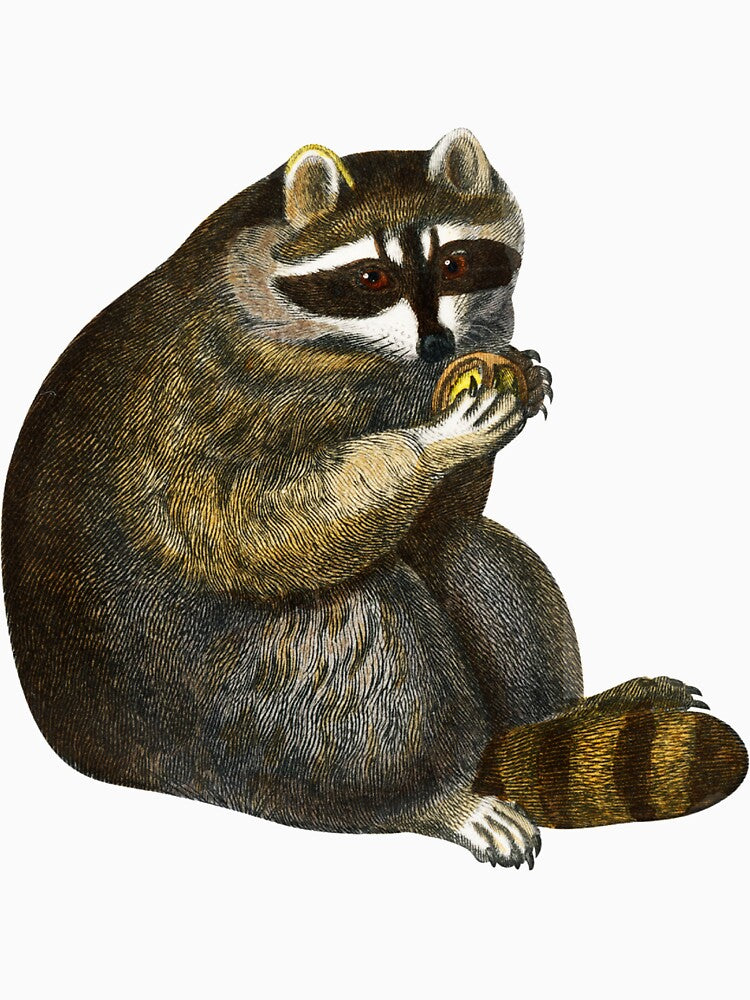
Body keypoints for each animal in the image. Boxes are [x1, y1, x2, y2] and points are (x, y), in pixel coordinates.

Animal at [3, 128, 746, 869]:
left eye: (455, 261)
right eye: (371, 278)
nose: (438, 344)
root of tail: (105, 746)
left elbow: (441, 522)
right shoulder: (216, 392)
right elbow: (252, 522)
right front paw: (439, 440)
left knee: (478, 556)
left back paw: (554, 718)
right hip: (219, 700)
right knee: (362, 635)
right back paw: (435, 794)